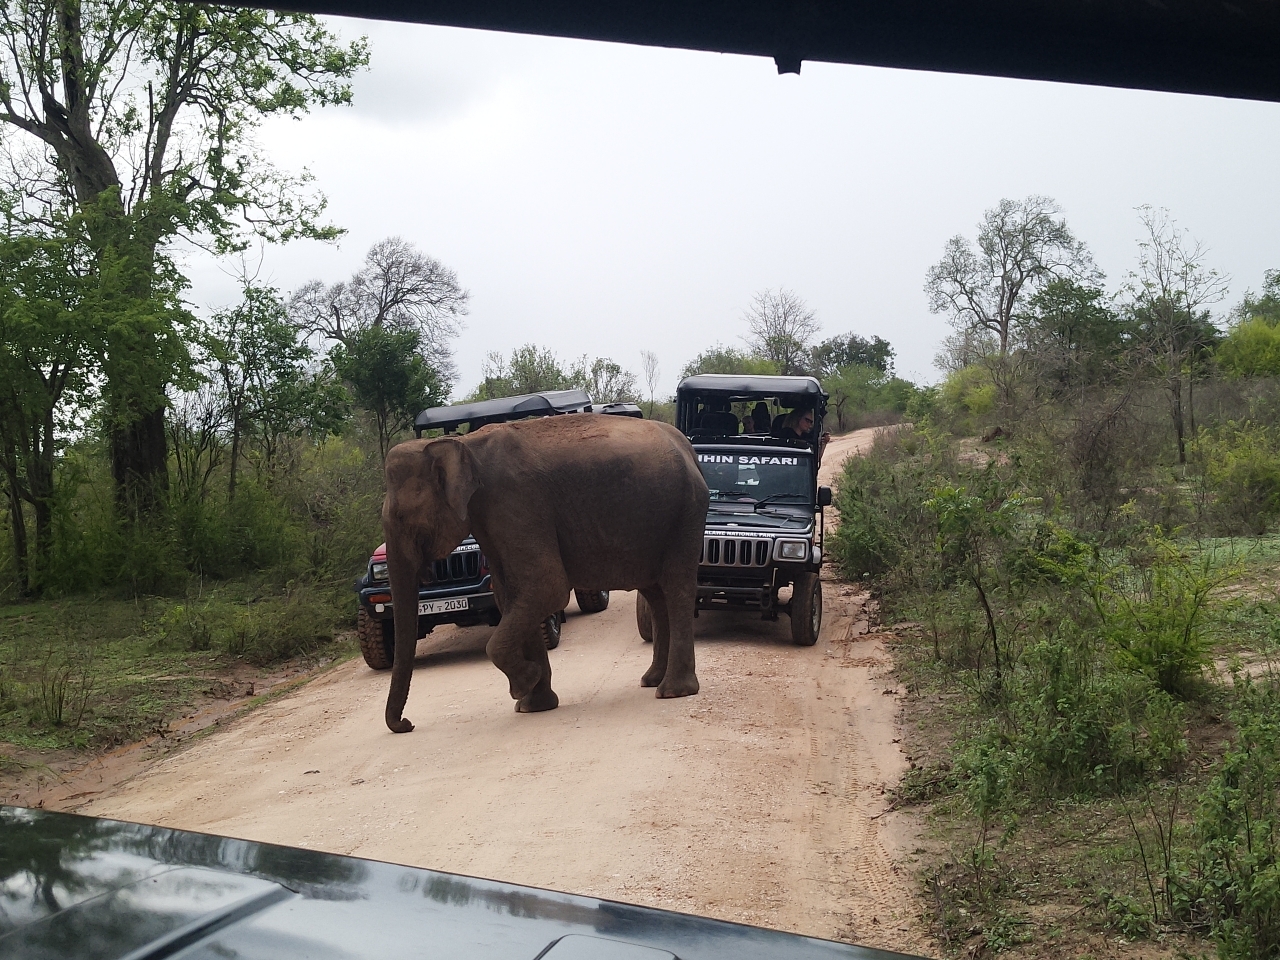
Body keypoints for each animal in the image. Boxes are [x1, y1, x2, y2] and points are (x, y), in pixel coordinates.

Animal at [384, 414, 716, 737]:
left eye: (401, 517)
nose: (407, 725)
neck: (463, 444)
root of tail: (689, 450)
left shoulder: (515, 503)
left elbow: (547, 587)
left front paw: (524, 683)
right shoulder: (493, 518)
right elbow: (512, 596)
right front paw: (533, 704)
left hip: (683, 514)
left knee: (675, 587)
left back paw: (673, 691)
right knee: (655, 593)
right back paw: (651, 680)